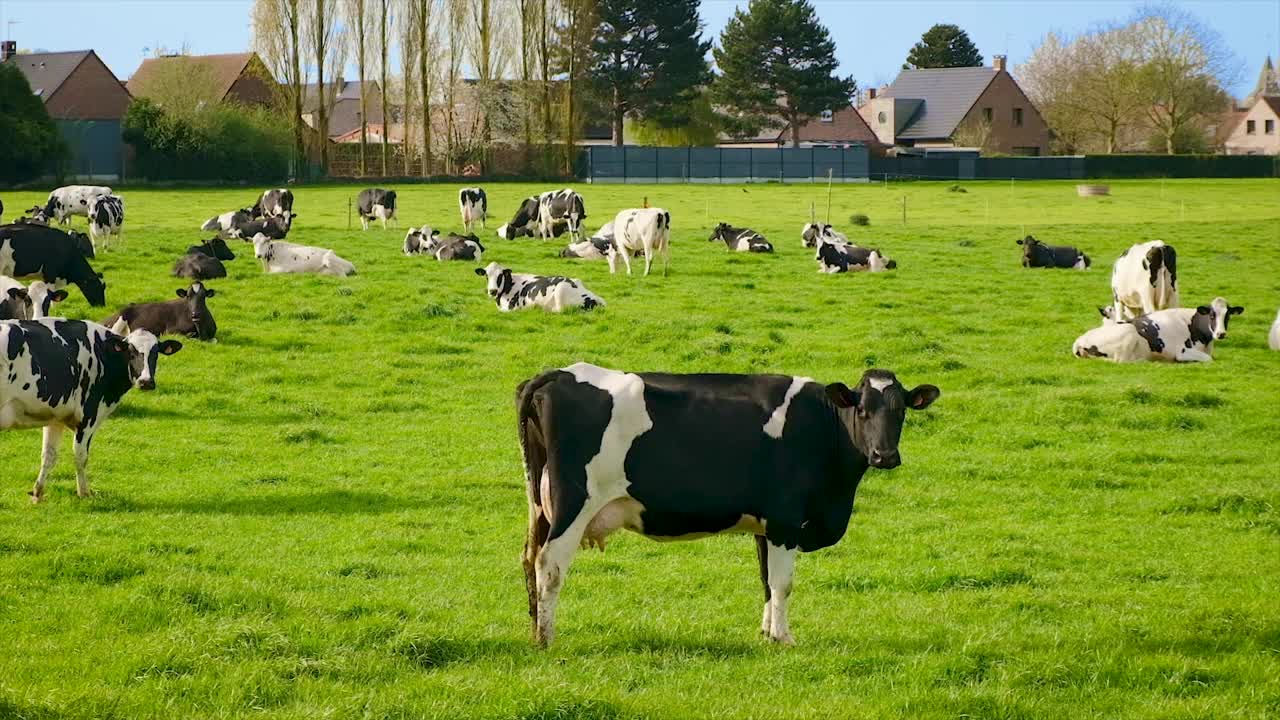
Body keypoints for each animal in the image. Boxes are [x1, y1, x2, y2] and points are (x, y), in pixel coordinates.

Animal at [0, 316, 183, 502]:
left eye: (155, 353)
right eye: (131, 352)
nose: (146, 382)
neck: (103, 354)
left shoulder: (55, 416)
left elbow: (49, 455)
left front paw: (37, 494)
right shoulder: (88, 415)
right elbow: (80, 456)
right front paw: (84, 493)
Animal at [517, 363, 942, 645]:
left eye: (901, 411)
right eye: (863, 410)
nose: (885, 456)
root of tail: (557, 373)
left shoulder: (766, 525)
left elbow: (766, 580)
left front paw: (767, 633)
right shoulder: (786, 521)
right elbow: (783, 582)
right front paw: (784, 639)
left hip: (539, 504)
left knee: (529, 557)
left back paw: (534, 628)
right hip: (575, 503)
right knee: (550, 565)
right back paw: (547, 639)